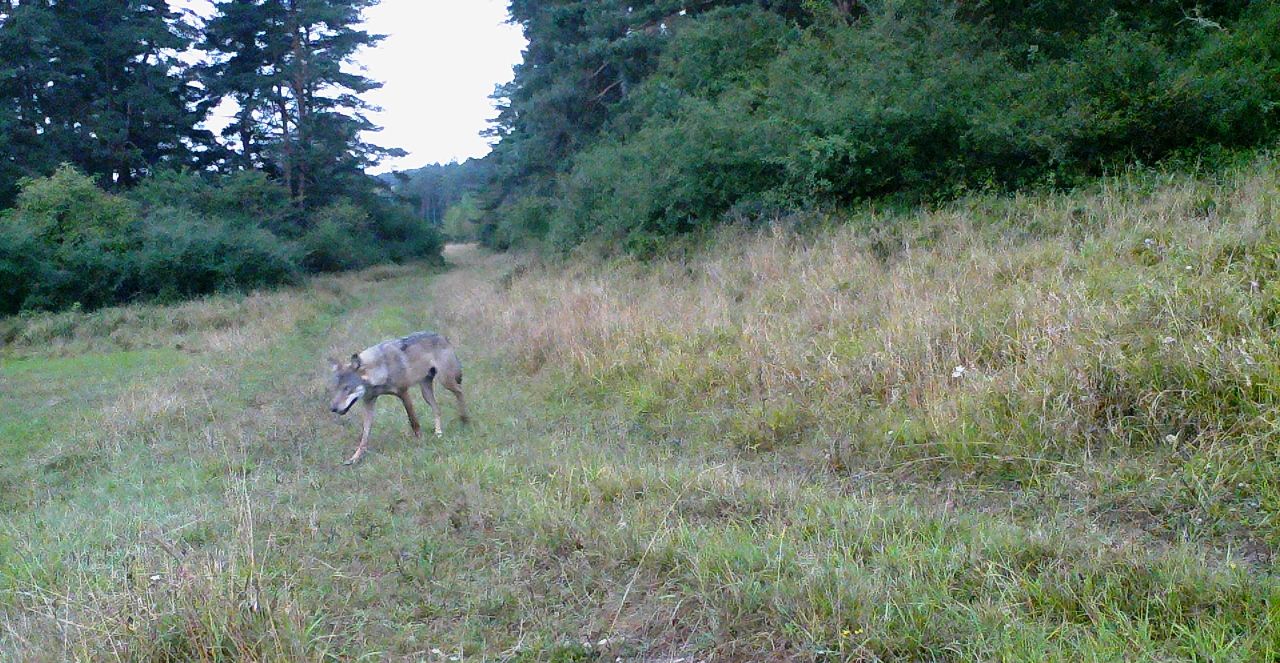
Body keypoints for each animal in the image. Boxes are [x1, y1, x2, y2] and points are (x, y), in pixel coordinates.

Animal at [329, 331, 468, 465]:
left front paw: (420, 441)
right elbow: (364, 436)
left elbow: (413, 422)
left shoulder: (403, 392)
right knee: (437, 409)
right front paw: (355, 458)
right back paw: (438, 433)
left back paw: (464, 420)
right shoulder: (369, 402)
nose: (333, 408)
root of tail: (443, 337)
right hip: (426, 392)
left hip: (446, 382)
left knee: (460, 392)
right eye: (336, 388)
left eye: (347, 388)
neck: (381, 368)